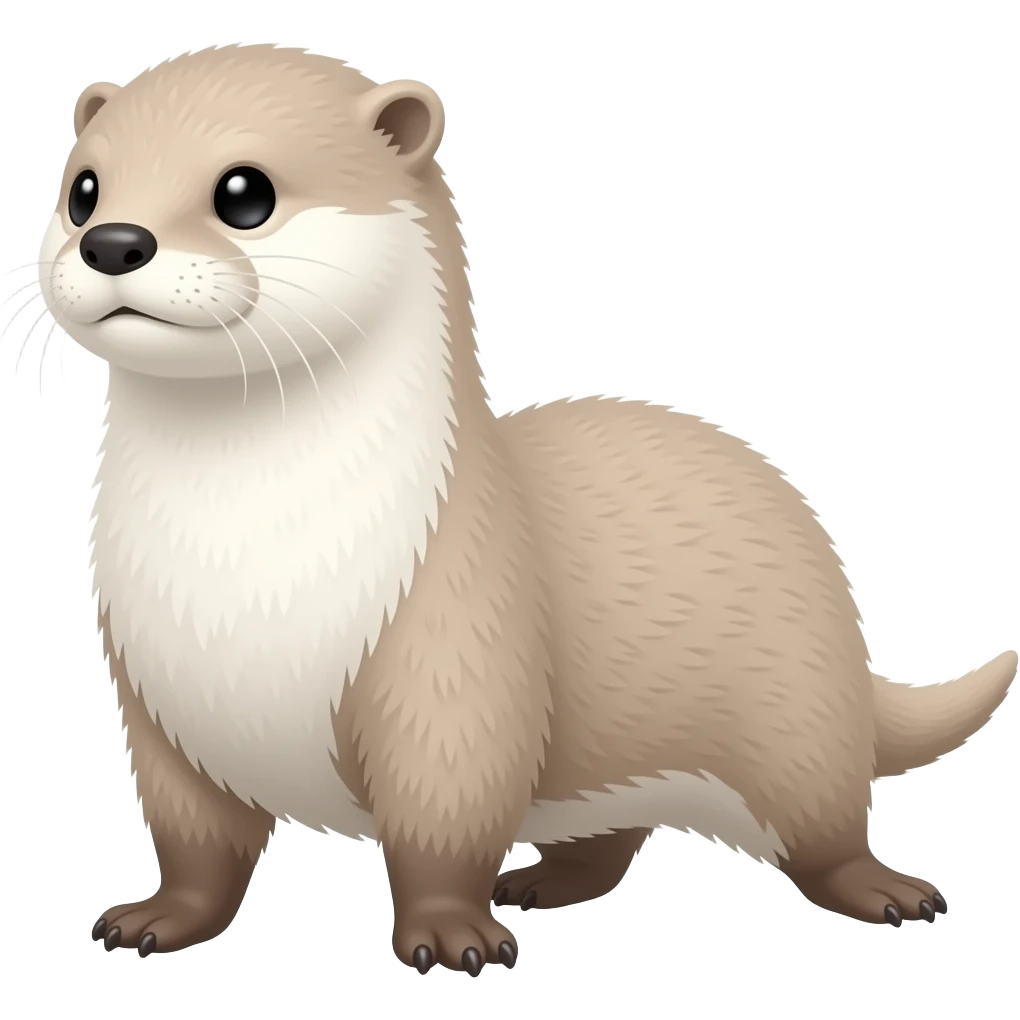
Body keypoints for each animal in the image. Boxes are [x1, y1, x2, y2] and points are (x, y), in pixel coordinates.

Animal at [25, 45, 1014, 971]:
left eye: (244, 193)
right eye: (83, 189)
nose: (114, 241)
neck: (246, 577)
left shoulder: (457, 653)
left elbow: (444, 825)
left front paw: (451, 937)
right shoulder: (158, 703)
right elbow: (196, 842)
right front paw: (157, 919)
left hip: (798, 713)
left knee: (829, 824)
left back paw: (886, 893)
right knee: (611, 839)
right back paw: (543, 881)